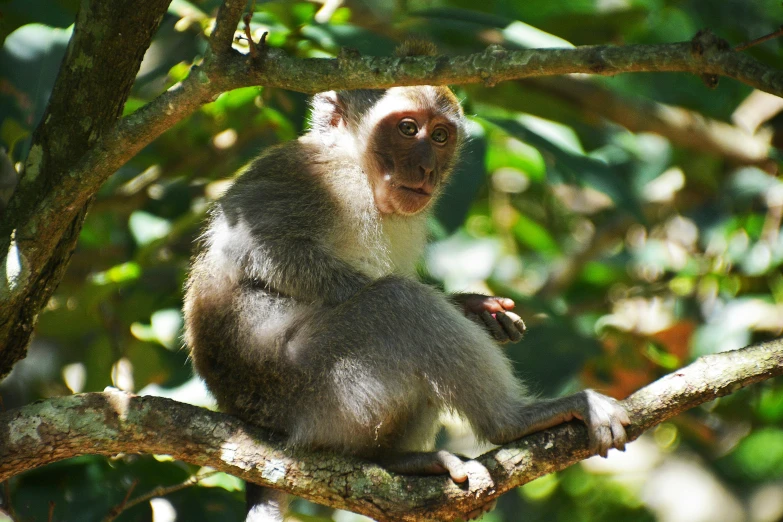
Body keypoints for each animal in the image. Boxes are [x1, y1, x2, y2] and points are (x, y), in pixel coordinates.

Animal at [184, 42, 632, 516]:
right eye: (406, 128)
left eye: (440, 137)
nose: (426, 168)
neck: (358, 168)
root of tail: (257, 424)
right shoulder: (311, 177)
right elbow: (257, 249)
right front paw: (457, 305)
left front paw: (474, 306)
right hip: (321, 390)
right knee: (397, 302)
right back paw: (512, 421)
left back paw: (395, 460)